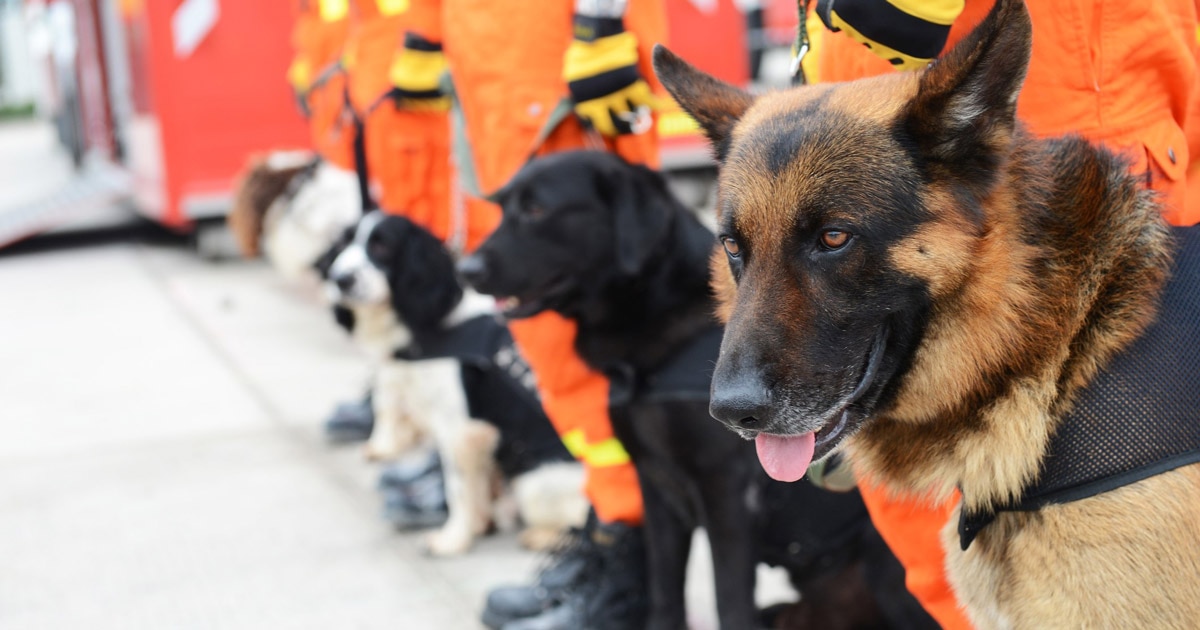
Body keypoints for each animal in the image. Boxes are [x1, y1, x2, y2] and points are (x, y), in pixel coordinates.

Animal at [319, 210, 580, 549]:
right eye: (343, 245)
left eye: (382, 247)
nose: (340, 279)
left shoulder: (459, 430)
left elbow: (458, 489)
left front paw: (452, 539)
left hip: (535, 481)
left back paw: (544, 535)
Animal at [458, 151, 936, 628]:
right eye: (503, 206)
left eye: (536, 209)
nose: (465, 270)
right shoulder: (657, 487)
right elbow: (665, 588)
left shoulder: (726, 490)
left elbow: (730, 599)